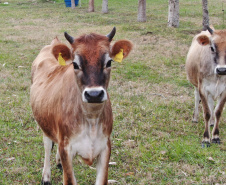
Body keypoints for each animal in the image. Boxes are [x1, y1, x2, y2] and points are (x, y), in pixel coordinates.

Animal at [30, 27, 132, 185]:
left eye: (109, 62)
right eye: (75, 64)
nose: (94, 94)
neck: (91, 120)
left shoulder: (105, 146)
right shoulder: (66, 147)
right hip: (43, 121)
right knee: (47, 144)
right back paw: (46, 177)